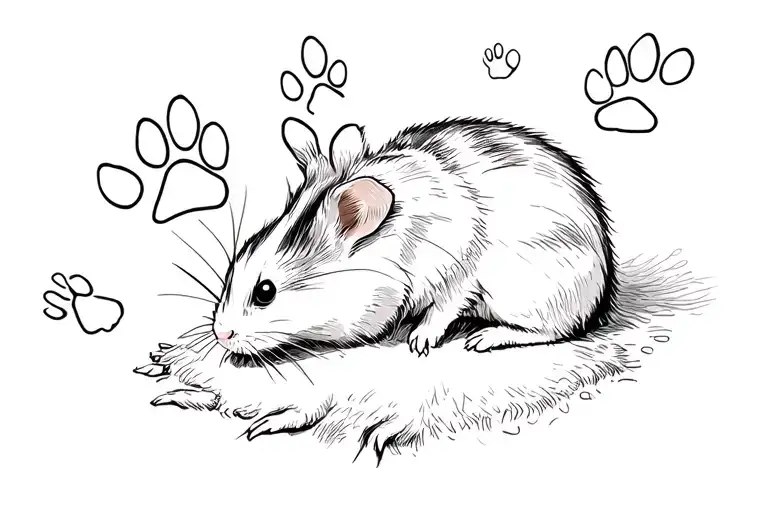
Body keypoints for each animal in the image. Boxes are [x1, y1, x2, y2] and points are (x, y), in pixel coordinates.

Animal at [213, 117, 616, 357]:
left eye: (265, 292)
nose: (220, 335)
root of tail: (601, 290)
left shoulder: (459, 275)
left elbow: (442, 309)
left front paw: (419, 343)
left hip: (532, 296)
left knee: (556, 330)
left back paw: (484, 338)